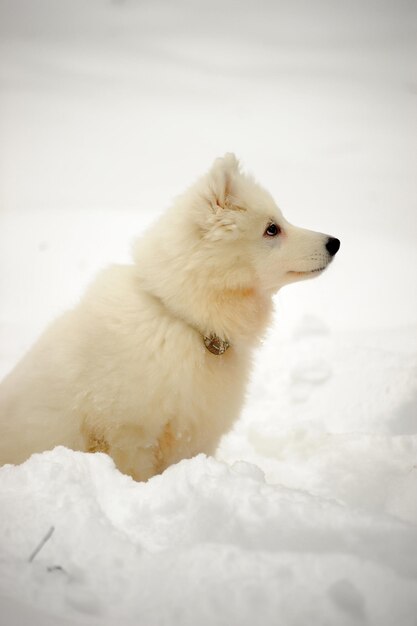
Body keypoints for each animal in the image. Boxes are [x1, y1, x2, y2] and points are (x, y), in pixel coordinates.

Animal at [0, 156, 338, 478]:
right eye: (271, 228)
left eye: (279, 221)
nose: (334, 242)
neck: (184, 319)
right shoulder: (128, 434)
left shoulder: (194, 434)